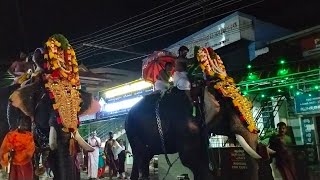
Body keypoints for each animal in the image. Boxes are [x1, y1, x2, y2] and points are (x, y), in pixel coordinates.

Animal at [125, 46, 272, 180]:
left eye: (249, 104)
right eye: (227, 104)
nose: (258, 132)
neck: (201, 88)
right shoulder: (185, 125)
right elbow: (191, 159)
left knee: (140, 159)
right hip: (133, 132)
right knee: (142, 158)